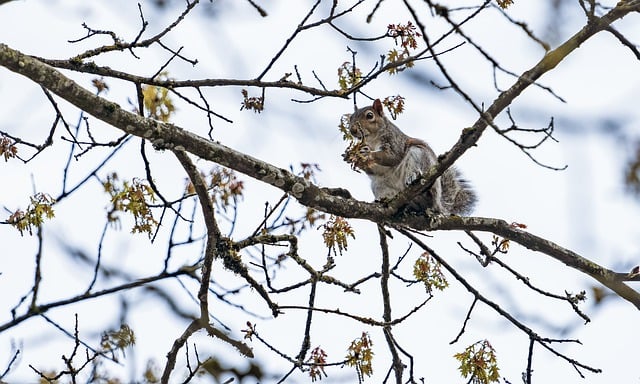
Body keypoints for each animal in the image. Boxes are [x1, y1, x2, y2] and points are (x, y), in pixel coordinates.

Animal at [344, 98, 476, 216]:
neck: (372, 140)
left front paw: (367, 154)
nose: (352, 130)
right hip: (378, 186)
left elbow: (392, 157)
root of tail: (438, 206)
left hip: (420, 156)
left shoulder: (395, 141)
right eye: (351, 118)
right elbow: (375, 169)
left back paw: (415, 180)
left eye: (370, 116)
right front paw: (354, 158)